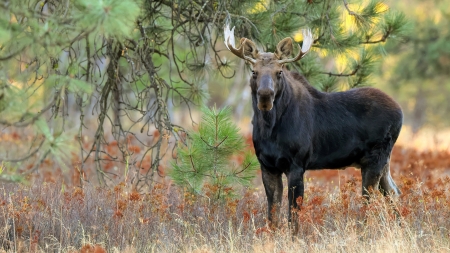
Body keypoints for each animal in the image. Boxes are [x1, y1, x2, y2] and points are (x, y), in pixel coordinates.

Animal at [225, 26, 404, 228]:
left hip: (375, 159)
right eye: (254, 71)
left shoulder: (297, 164)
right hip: (381, 161)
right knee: (393, 192)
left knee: (371, 200)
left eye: (279, 72)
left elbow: (293, 214)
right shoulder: (268, 166)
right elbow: (272, 215)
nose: (265, 95)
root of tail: (400, 111)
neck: (270, 129)